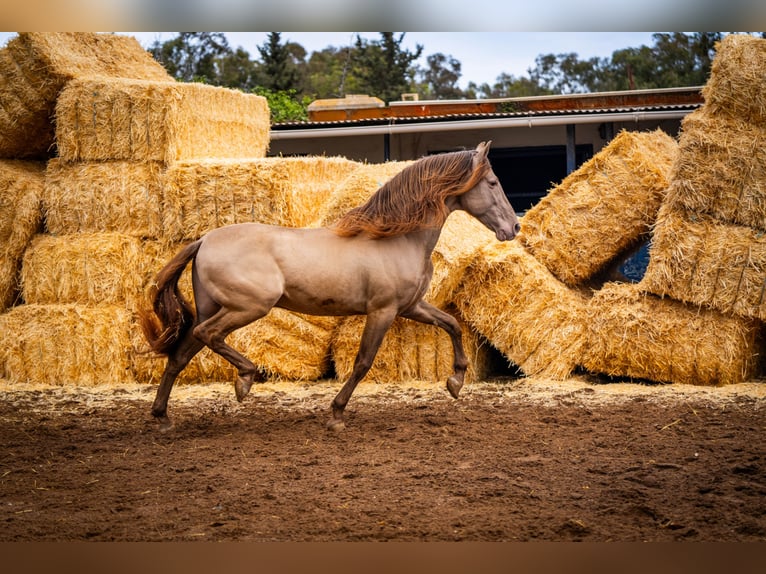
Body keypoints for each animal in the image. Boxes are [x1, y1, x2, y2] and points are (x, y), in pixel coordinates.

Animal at [140, 143, 520, 432]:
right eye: (492, 182)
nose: (514, 227)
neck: (397, 238)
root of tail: (204, 240)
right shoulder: (382, 311)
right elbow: (363, 362)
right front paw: (336, 414)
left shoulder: (411, 307)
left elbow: (452, 325)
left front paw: (455, 382)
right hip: (248, 306)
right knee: (208, 335)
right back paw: (244, 380)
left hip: (213, 307)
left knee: (180, 355)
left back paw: (163, 418)